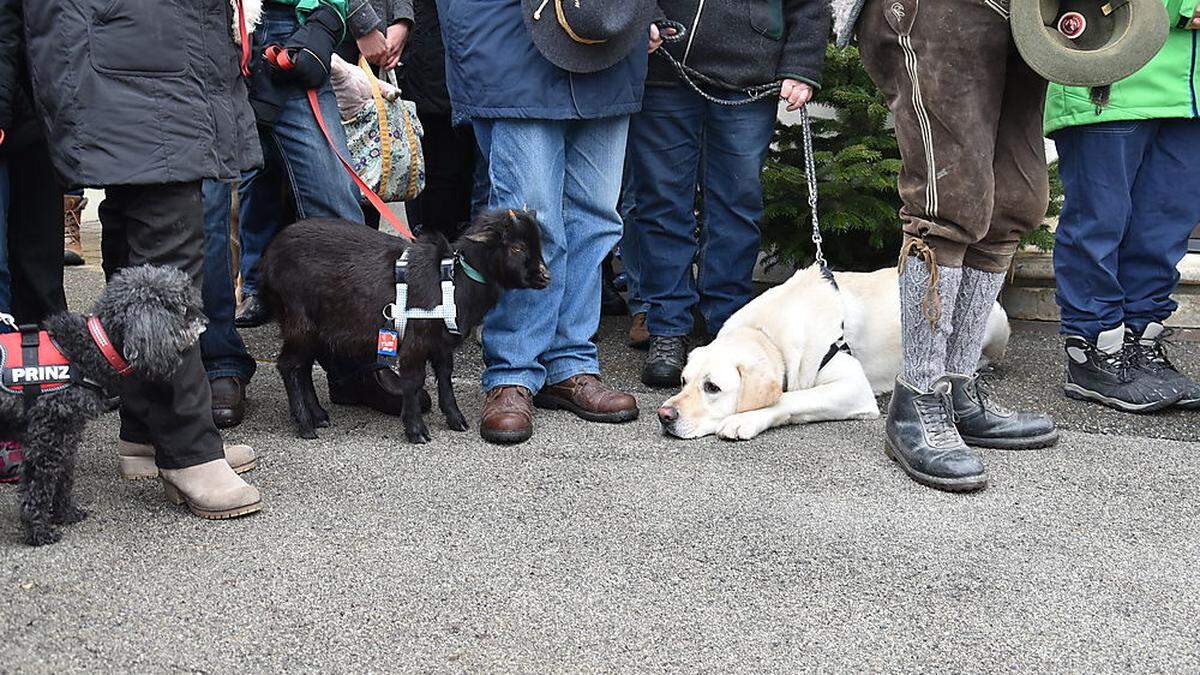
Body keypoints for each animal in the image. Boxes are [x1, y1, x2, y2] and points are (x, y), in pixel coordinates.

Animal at [260, 210, 549, 441]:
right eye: (517, 247)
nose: (545, 276)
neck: (453, 281)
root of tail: (267, 261)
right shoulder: (415, 340)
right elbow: (413, 381)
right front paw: (416, 430)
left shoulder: (442, 344)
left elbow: (445, 377)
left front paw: (456, 419)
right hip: (298, 321)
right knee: (288, 366)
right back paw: (305, 425)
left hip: (313, 329)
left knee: (303, 368)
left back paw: (318, 415)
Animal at [657, 263, 1012, 441]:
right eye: (683, 381)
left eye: (712, 387)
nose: (664, 415)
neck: (766, 334)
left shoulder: (853, 387)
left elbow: (790, 398)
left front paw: (745, 419)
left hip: (997, 321)